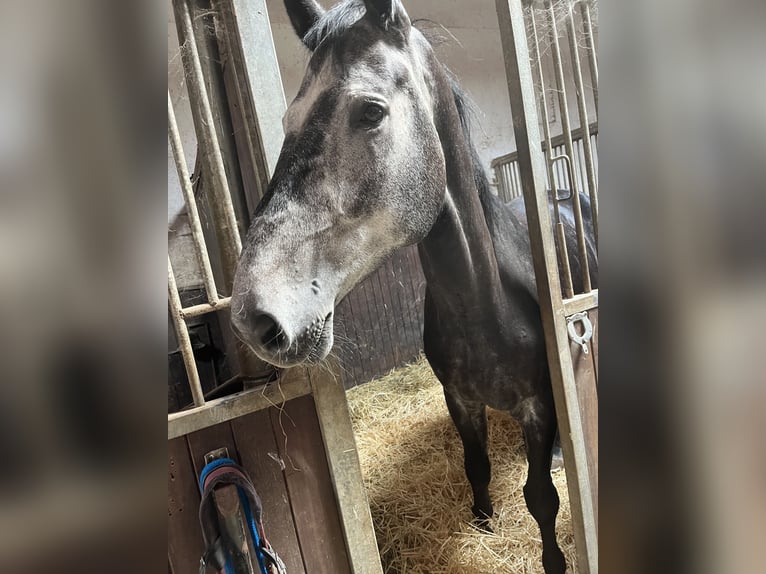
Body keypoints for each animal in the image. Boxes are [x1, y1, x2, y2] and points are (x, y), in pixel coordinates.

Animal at [230, 1, 597, 572]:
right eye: (288, 121)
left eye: (370, 112)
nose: (252, 317)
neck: (483, 304)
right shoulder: (459, 400)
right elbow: (476, 467)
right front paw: (483, 523)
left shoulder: (538, 406)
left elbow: (541, 496)